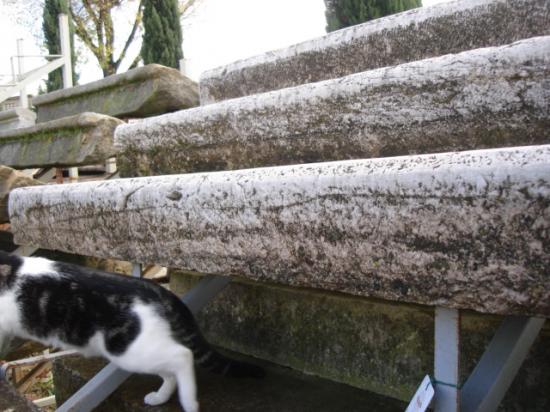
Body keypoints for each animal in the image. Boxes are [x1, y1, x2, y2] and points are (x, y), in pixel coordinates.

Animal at [0, 251, 264, 412]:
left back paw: (189, 402)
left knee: (182, 356)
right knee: (171, 369)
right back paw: (160, 397)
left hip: (129, 351)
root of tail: (154, 288)